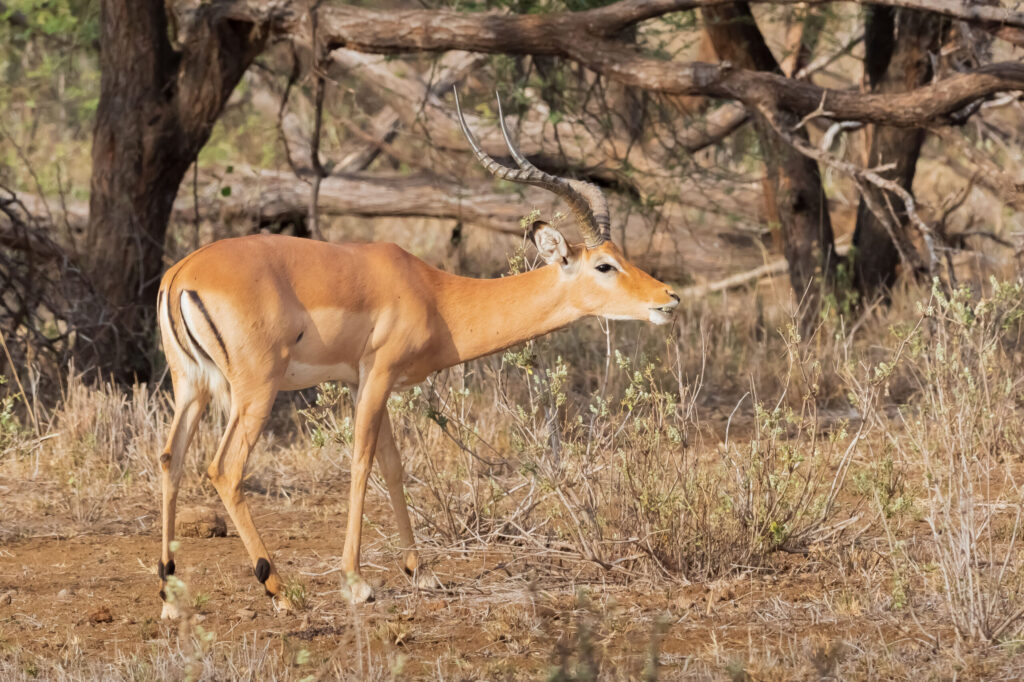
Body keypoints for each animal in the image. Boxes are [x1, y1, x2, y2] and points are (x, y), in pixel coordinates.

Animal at [154, 88, 679, 616]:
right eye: (604, 265)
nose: (669, 298)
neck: (434, 294)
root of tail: (182, 274)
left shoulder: (364, 381)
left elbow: (392, 465)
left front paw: (420, 572)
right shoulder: (380, 374)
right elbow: (362, 462)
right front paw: (356, 582)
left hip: (192, 386)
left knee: (170, 457)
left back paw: (171, 595)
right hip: (255, 391)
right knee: (224, 469)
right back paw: (278, 589)